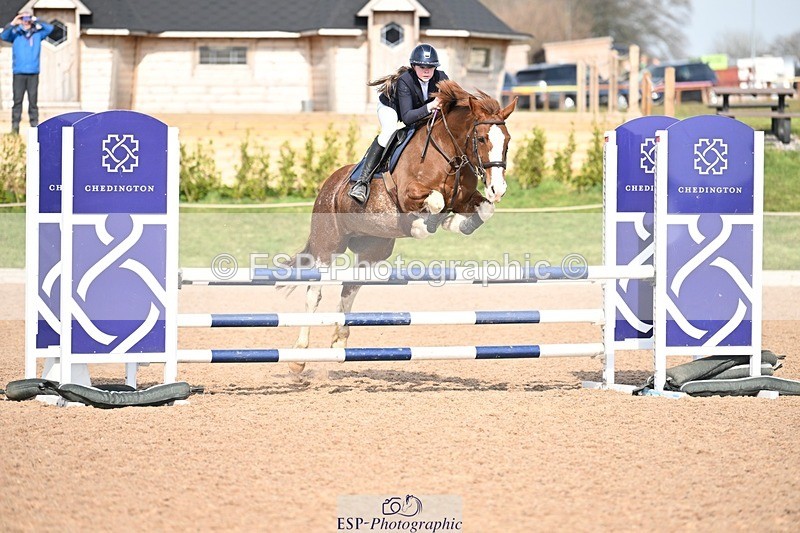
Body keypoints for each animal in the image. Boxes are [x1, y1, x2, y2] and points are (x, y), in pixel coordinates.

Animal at [287, 80, 517, 374]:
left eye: (507, 141)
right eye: (481, 139)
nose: (497, 189)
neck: (449, 154)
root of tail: (329, 184)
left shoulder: (465, 199)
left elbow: (483, 210)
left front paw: (455, 223)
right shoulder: (409, 195)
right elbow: (436, 201)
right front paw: (424, 225)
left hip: (372, 250)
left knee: (349, 287)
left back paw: (339, 342)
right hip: (327, 245)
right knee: (314, 292)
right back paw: (298, 357)